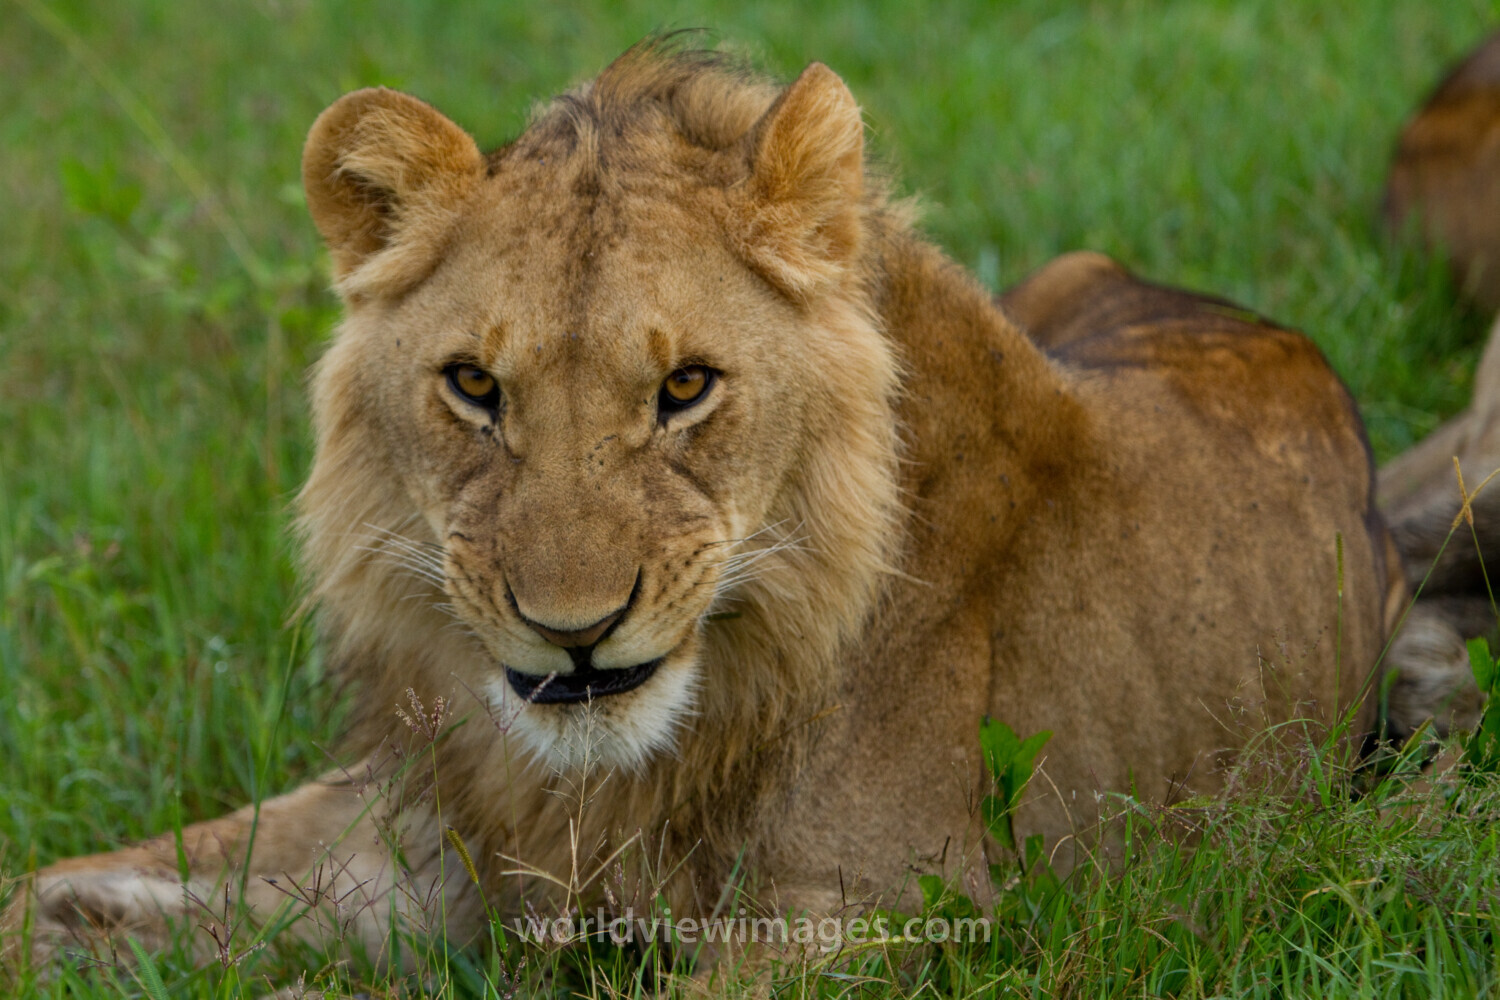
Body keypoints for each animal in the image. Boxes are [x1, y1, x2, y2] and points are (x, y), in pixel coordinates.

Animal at [5, 42, 1406, 974]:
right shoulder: (424, 837)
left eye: (685, 387)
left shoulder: (880, 904)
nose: (572, 631)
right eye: (474, 386)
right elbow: (151, 867)